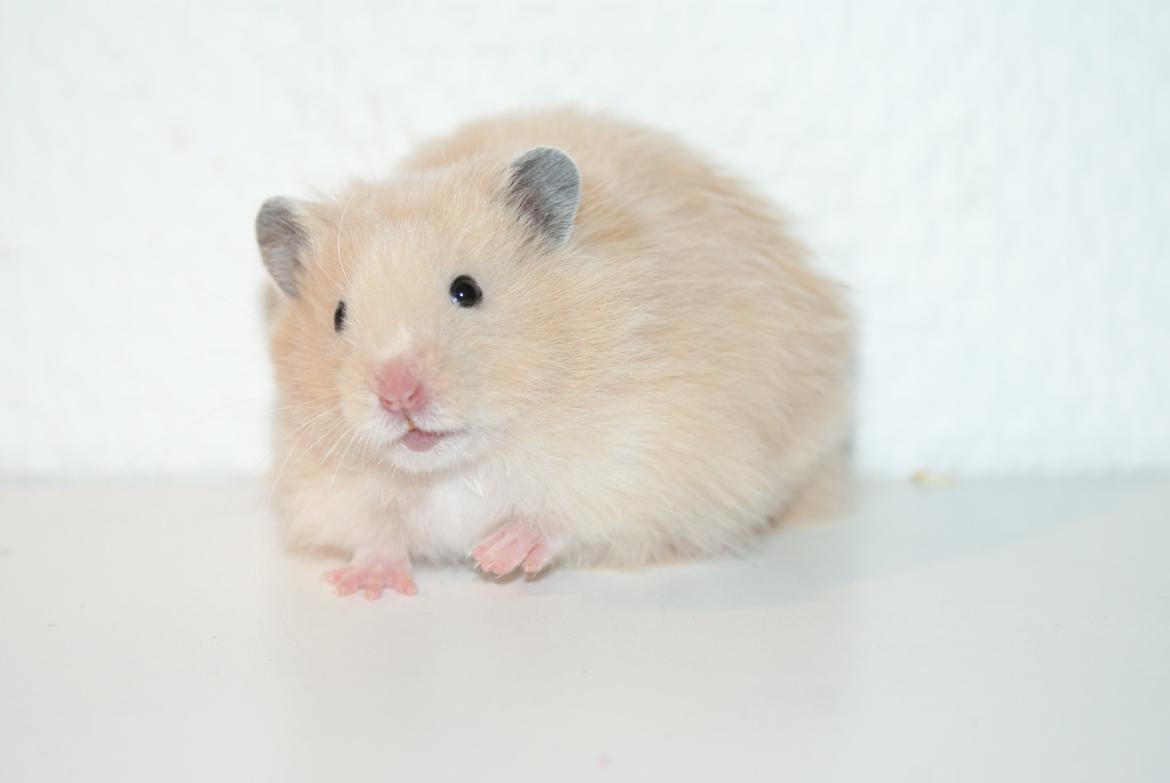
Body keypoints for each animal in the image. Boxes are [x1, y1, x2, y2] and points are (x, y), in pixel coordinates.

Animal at [256, 107, 853, 598]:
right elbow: (377, 528)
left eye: (466, 291)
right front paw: (361, 584)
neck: (461, 463)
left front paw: (496, 555)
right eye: (339, 315)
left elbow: (564, 515)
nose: (397, 394)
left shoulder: (642, 460)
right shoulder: (328, 482)